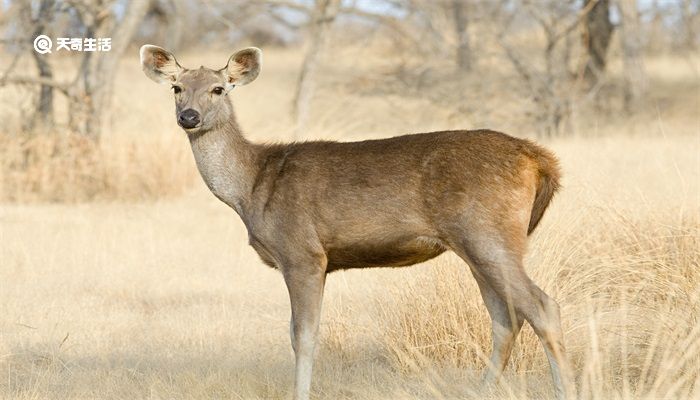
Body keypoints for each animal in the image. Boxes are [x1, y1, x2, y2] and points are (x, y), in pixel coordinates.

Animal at [141, 44, 576, 400]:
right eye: (176, 87)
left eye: (219, 88)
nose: (189, 116)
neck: (252, 187)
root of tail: (539, 160)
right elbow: (295, 333)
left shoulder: (303, 253)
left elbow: (304, 336)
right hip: (476, 244)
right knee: (505, 319)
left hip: (487, 232)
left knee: (542, 307)